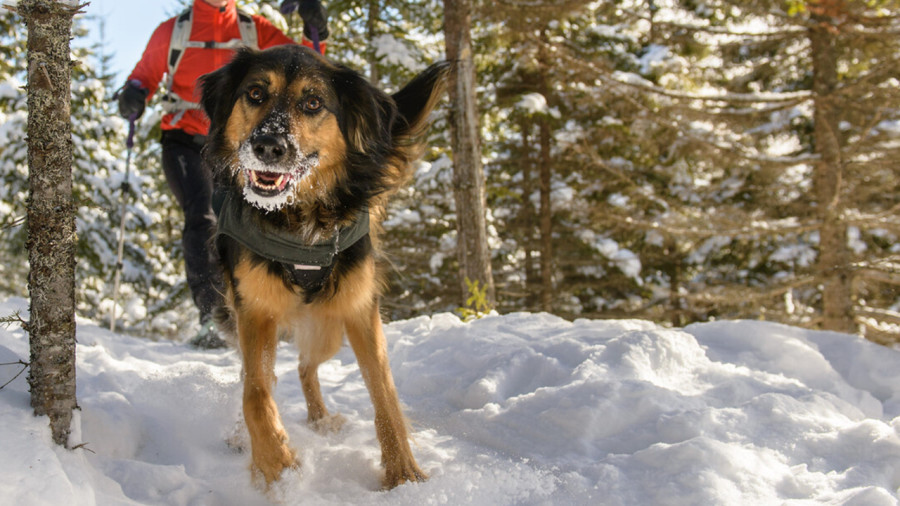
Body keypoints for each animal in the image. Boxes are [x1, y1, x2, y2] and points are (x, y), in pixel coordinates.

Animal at [199, 45, 448, 488]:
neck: (298, 217)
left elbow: (385, 395)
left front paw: (404, 474)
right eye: (255, 93)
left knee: (304, 366)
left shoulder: (359, 308)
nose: (269, 146)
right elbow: (255, 393)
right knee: (265, 374)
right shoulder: (254, 309)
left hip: (328, 328)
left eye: (313, 103)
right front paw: (275, 464)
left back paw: (320, 420)